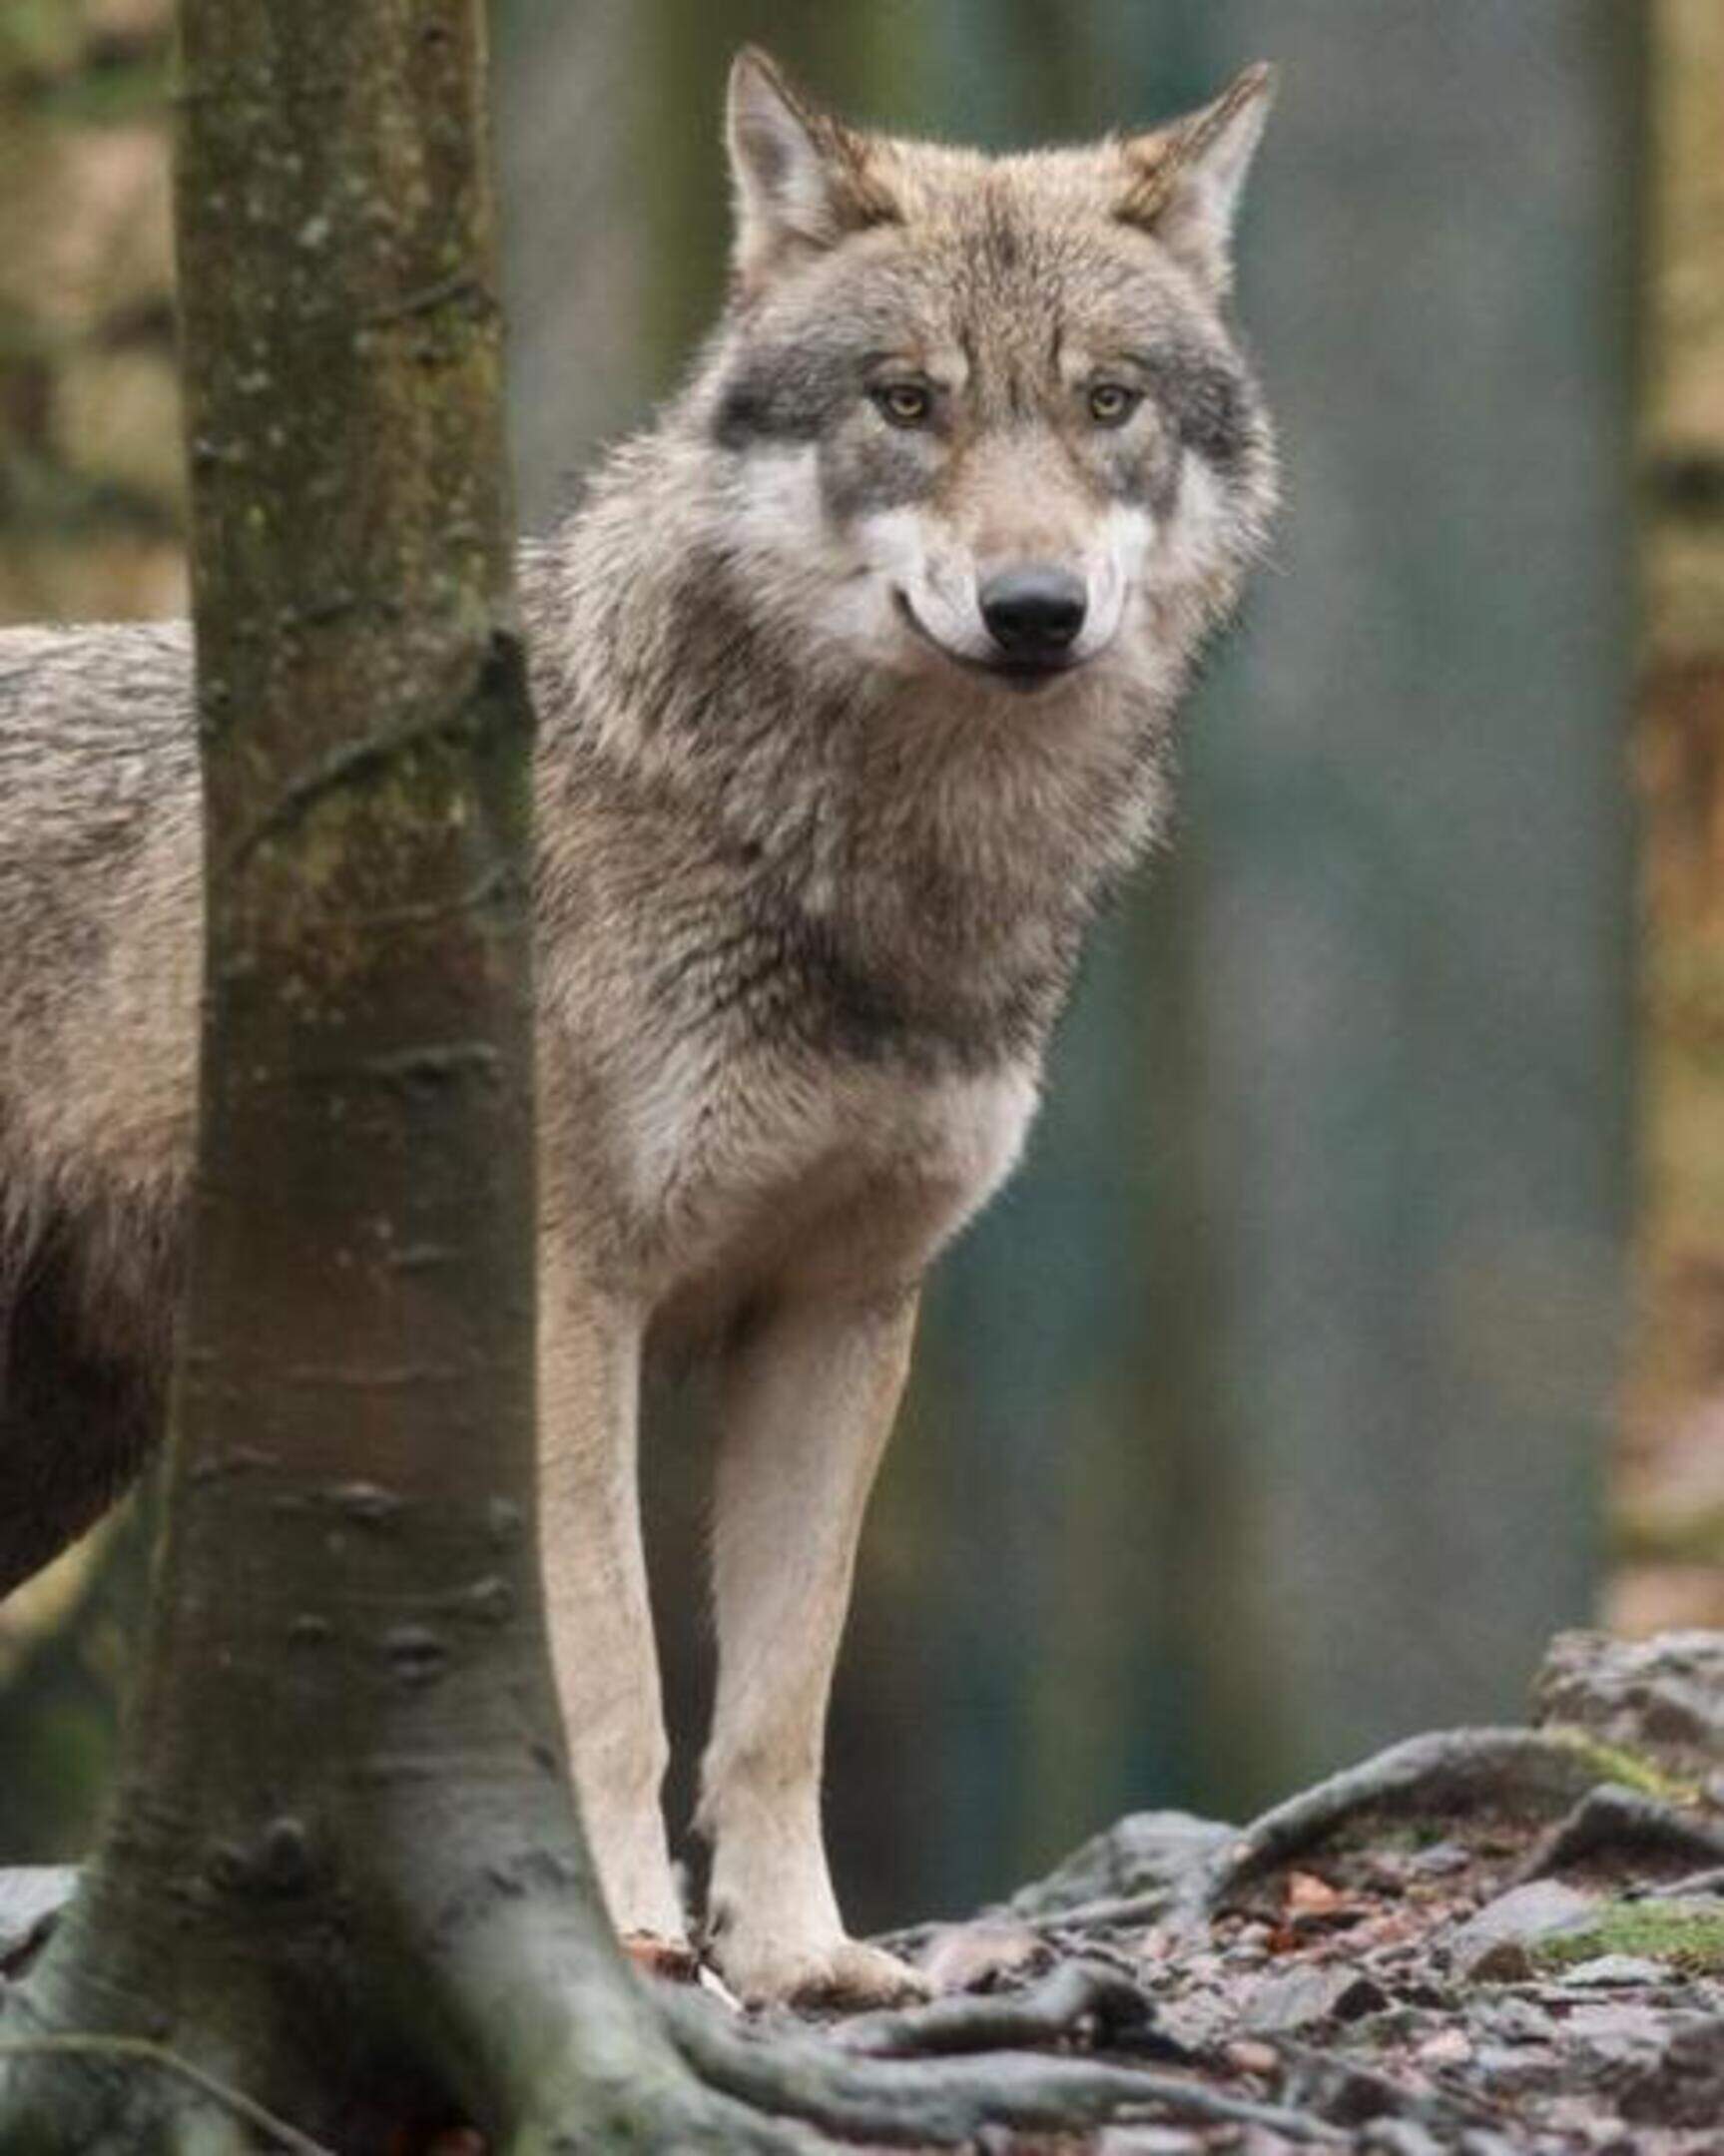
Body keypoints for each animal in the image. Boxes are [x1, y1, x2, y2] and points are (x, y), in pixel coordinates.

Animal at [0, 50, 1277, 2002]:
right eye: (907, 401)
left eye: (1106, 402)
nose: (1033, 610)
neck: (865, 870)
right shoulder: (562, 1299)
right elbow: (607, 1672)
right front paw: (623, 1936)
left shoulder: (843, 1309)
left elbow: (778, 1695)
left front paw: (806, 1959)